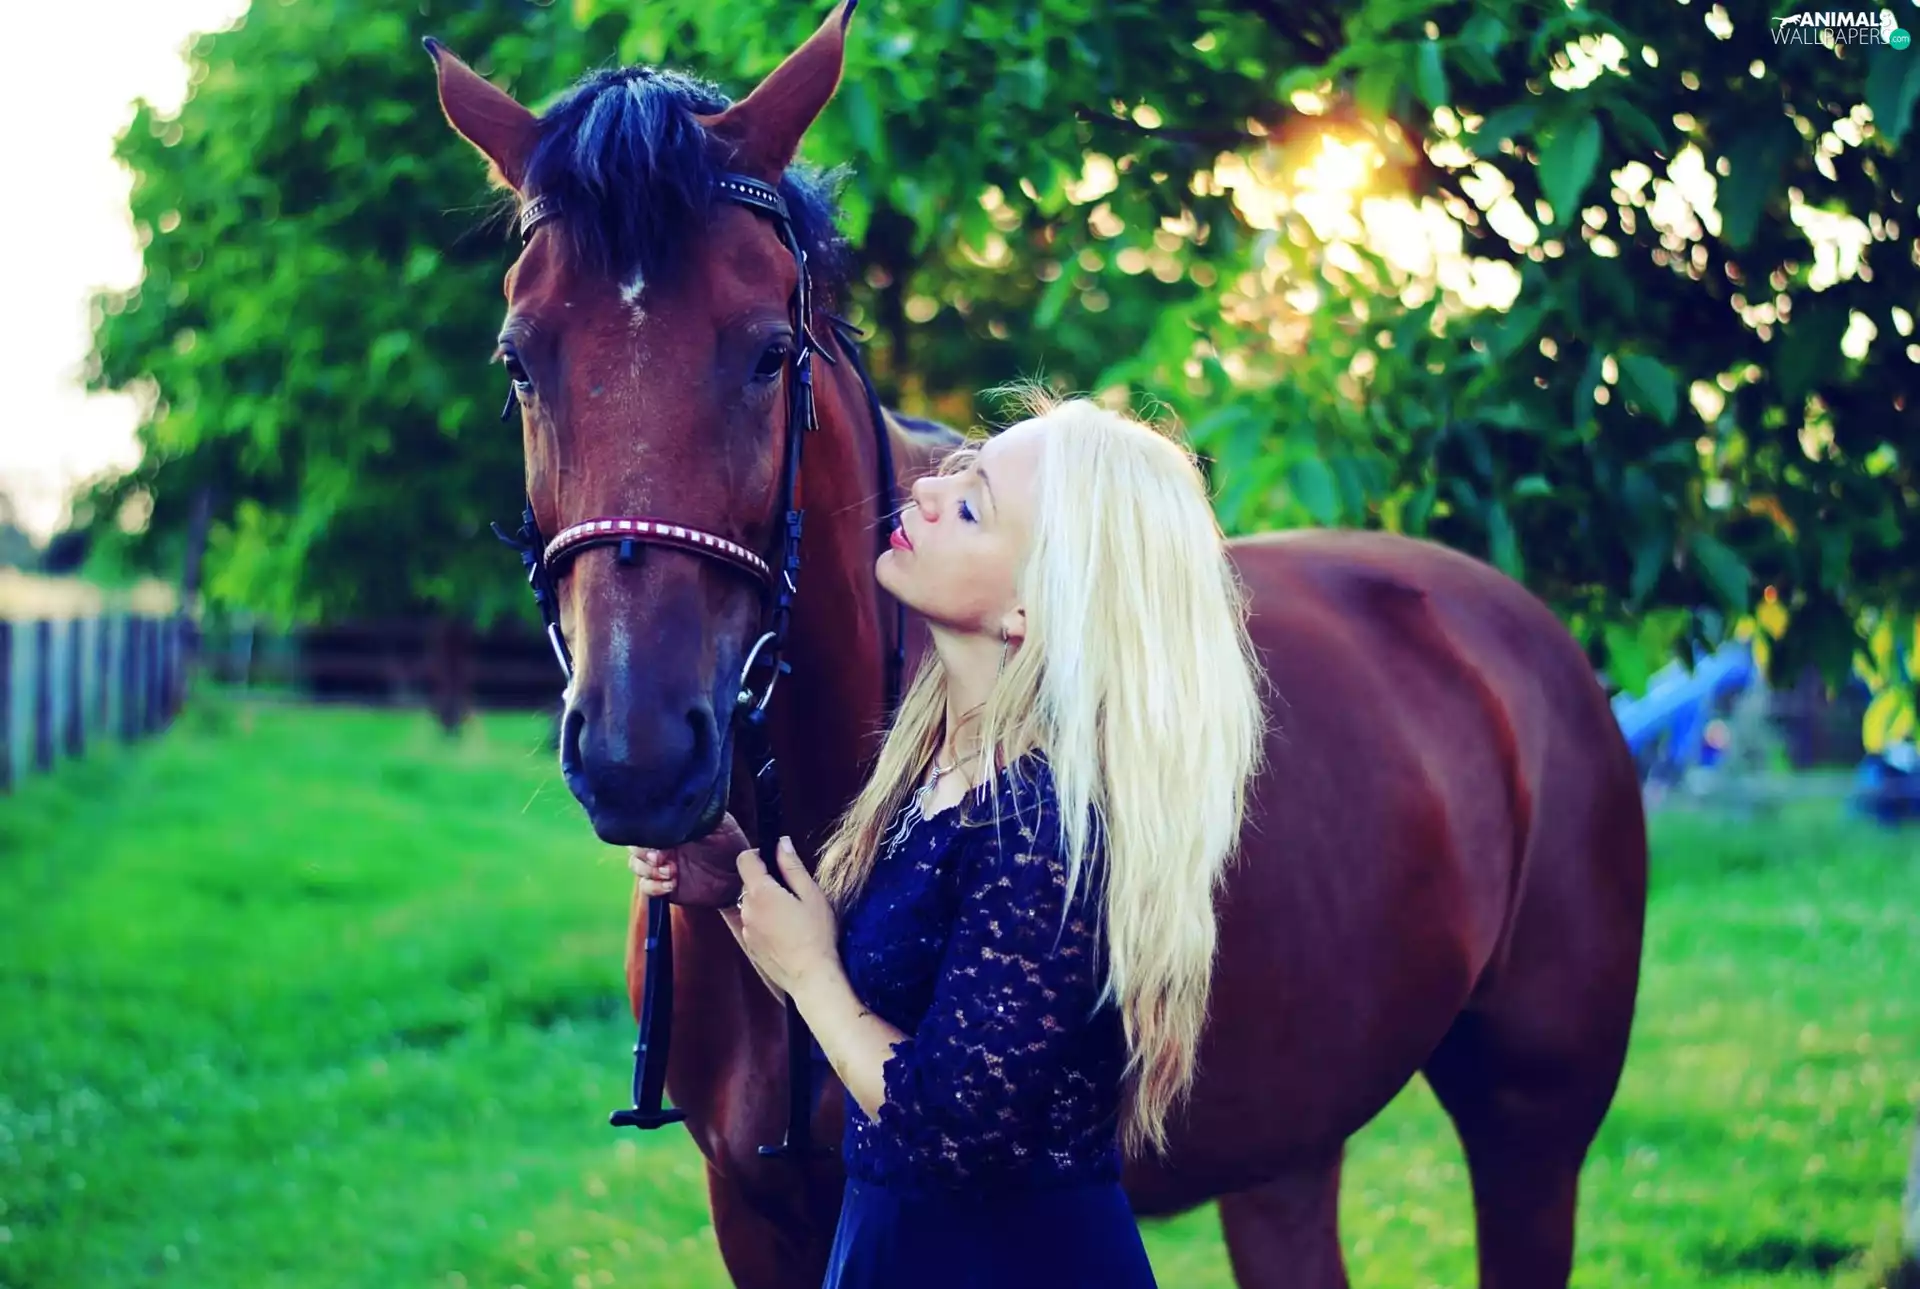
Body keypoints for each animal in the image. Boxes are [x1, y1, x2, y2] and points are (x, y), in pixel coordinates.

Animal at [427, 6, 1648, 1285]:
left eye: (767, 351)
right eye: (519, 359)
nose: (639, 750)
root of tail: (1517, 630)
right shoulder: (754, 1214)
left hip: (1530, 1125)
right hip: (1288, 1148)